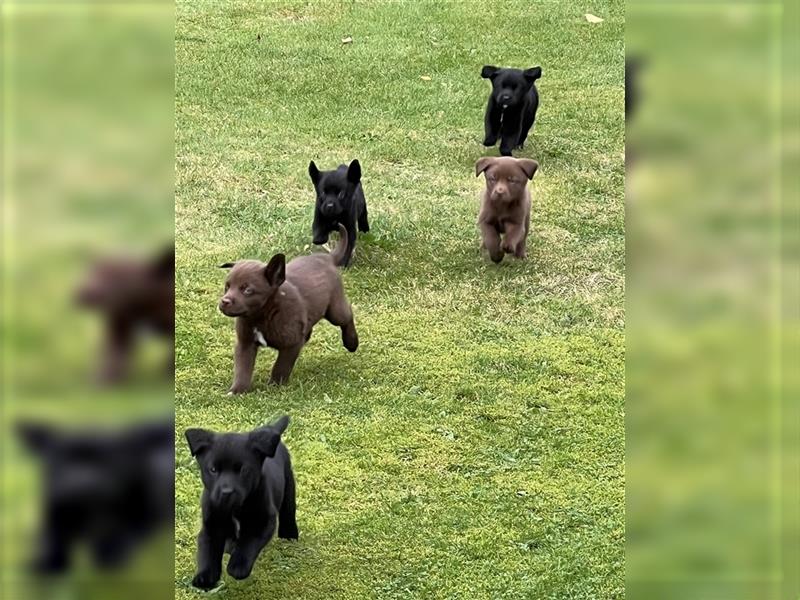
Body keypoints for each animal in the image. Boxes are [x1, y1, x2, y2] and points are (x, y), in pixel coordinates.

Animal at [15, 418, 175, 572]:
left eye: (106, 461)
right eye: (63, 458)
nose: (83, 483)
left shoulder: (140, 517)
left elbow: (125, 533)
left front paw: (110, 551)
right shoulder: (54, 517)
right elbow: (53, 541)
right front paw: (47, 563)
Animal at [186, 414, 298, 588]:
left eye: (243, 470)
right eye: (213, 470)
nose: (226, 492)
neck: (233, 508)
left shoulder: (263, 520)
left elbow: (249, 543)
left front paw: (237, 567)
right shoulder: (211, 524)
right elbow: (207, 551)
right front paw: (205, 577)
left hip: (288, 484)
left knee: (289, 511)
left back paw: (290, 535)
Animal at [217, 225, 358, 394]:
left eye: (247, 290)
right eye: (227, 286)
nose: (224, 301)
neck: (262, 315)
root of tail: (327, 258)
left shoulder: (291, 344)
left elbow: (281, 366)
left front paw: (275, 385)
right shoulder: (245, 343)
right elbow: (242, 368)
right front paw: (237, 390)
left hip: (335, 310)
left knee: (347, 315)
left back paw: (352, 342)